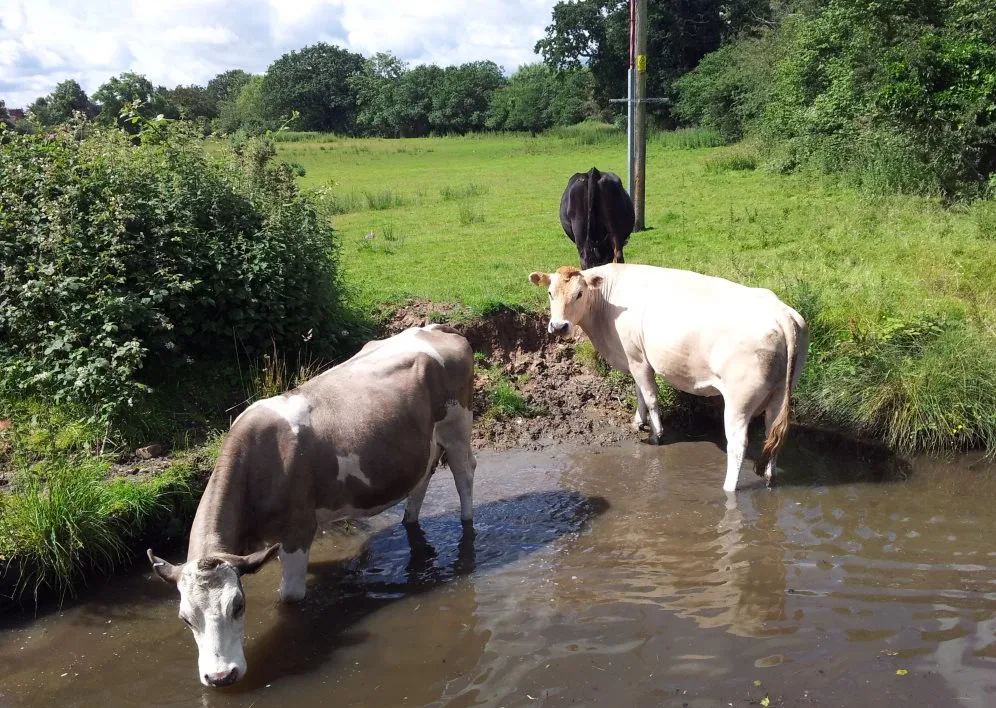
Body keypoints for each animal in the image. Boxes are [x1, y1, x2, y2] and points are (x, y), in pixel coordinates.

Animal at [147, 325, 477, 687]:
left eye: (239, 606)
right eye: (185, 618)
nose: (221, 676)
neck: (260, 461)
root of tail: (433, 327)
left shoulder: (299, 528)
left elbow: (290, 597)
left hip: (457, 424)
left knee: (464, 474)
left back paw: (468, 526)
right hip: (422, 445)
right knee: (421, 479)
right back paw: (410, 521)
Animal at [529, 264, 808, 493]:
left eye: (579, 294)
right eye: (550, 293)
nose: (559, 326)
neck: (606, 304)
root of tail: (780, 312)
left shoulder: (638, 358)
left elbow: (651, 397)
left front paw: (656, 434)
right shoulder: (634, 359)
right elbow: (639, 393)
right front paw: (638, 421)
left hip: (739, 400)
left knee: (738, 444)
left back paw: (729, 488)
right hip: (780, 394)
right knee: (773, 433)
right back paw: (770, 477)